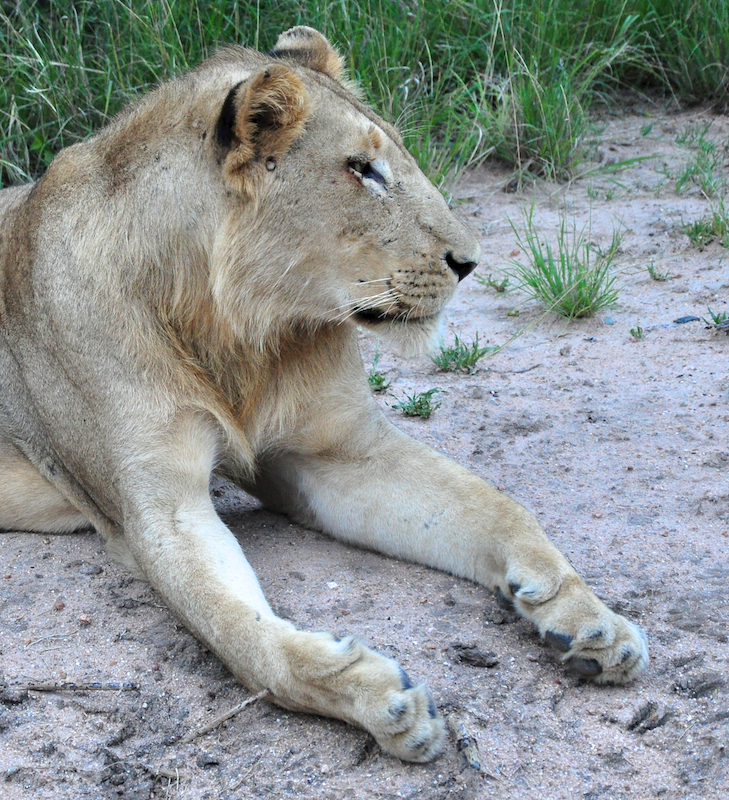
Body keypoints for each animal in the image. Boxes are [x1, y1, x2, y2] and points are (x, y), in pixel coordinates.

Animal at [0, 26, 647, 762]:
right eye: (362, 169)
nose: (470, 262)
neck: (238, 329)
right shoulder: (157, 509)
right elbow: (242, 634)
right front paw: (374, 699)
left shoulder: (332, 454)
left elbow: (498, 508)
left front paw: (586, 618)